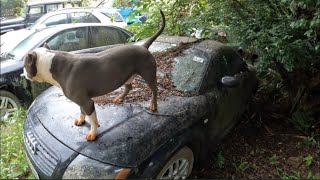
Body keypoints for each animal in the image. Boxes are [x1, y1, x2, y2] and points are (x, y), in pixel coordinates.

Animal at [23, 9, 165, 141]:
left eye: (24, 65)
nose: (22, 73)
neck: (52, 63)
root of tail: (143, 46)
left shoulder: (87, 102)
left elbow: (92, 119)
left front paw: (93, 133)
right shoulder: (82, 100)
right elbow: (82, 111)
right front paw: (81, 120)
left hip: (148, 74)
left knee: (154, 89)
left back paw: (153, 104)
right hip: (127, 76)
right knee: (128, 87)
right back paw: (120, 98)